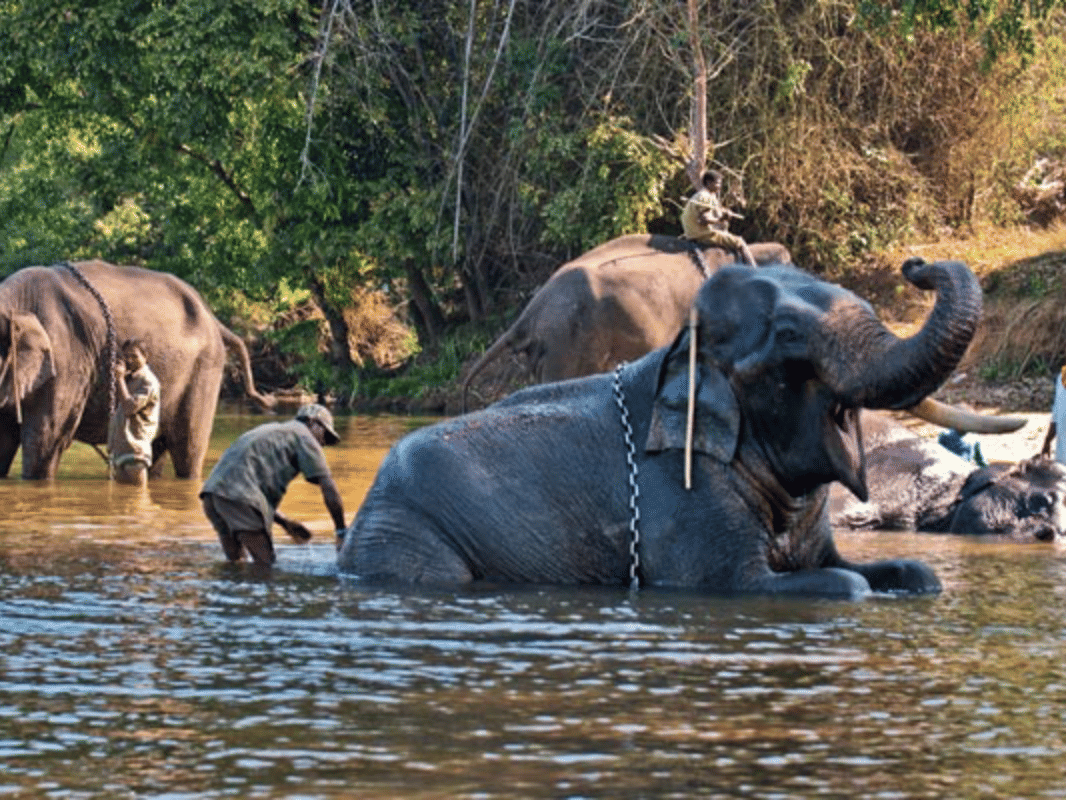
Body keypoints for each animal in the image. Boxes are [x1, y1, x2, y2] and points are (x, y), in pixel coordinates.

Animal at [338, 257, 984, 599]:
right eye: (787, 335)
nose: (917, 266)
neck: (683, 349)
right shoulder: (682, 499)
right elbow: (813, 584)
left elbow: (905, 570)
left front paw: (909, 577)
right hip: (408, 537)